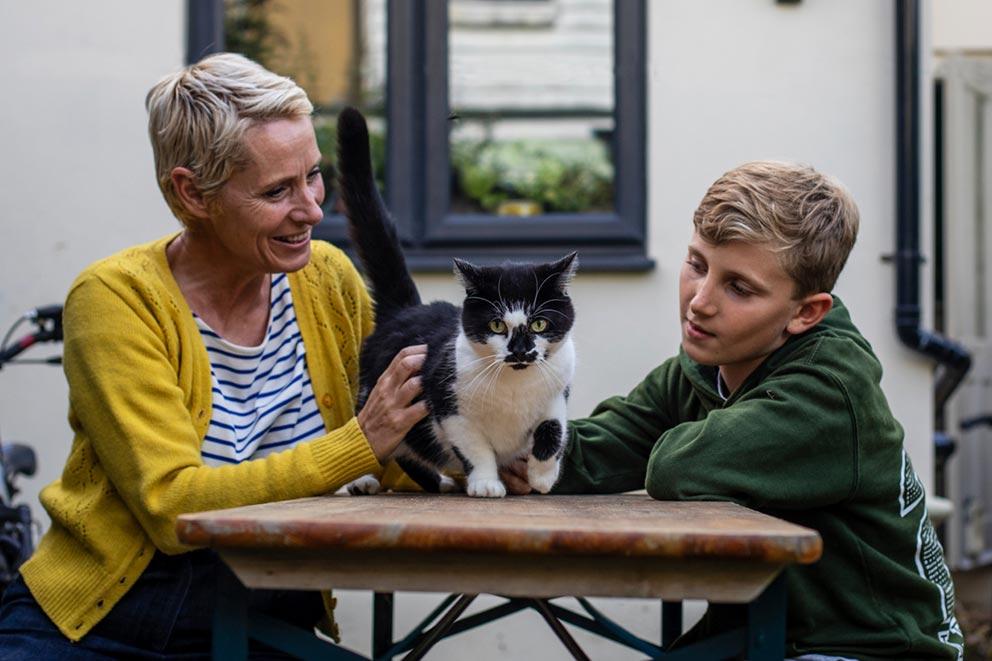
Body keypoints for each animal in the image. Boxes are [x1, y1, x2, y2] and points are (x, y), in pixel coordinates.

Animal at [338, 108, 576, 498]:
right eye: (496, 324)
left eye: (539, 323)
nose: (520, 351)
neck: (515, 386)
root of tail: (407, 309)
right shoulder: (449, 407)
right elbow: (476, 449)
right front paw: (486, 483)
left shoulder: (558, 392)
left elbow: (552, 428)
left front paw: (542, 475)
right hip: (375, 394)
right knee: (384, 440)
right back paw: (366, 480)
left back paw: (439, 482)